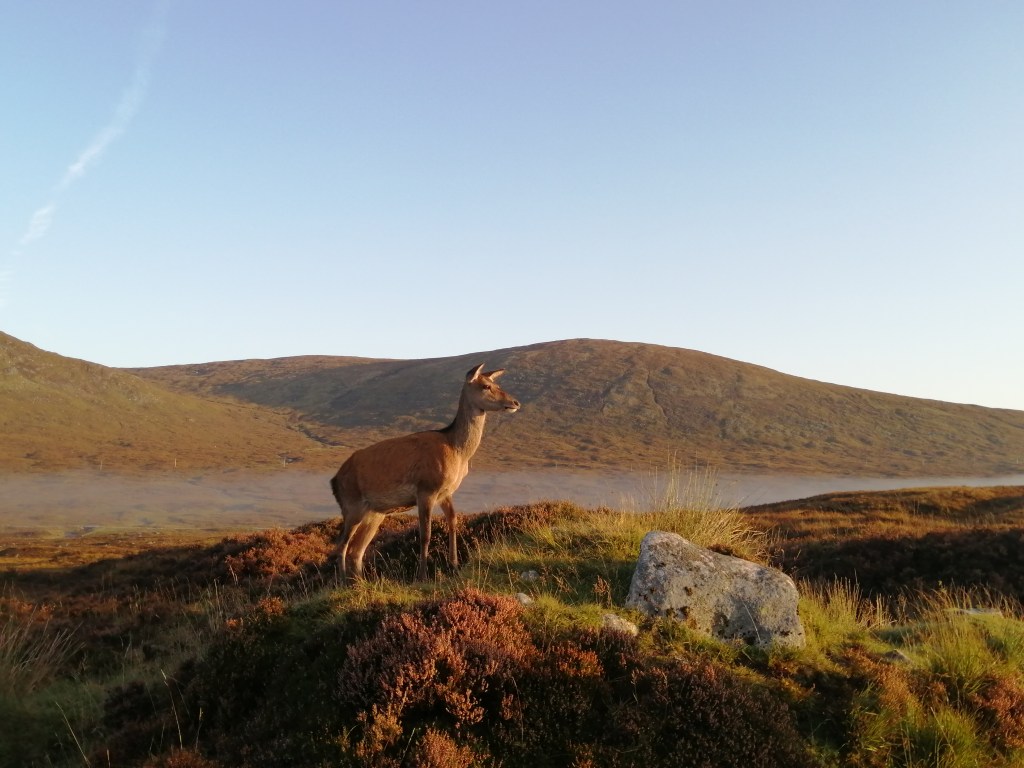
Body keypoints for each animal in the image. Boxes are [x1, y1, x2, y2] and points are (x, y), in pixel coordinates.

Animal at [329, 363, 521, 583]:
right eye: (485, 386)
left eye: (496, 383)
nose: (515, 402)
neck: (457, 451)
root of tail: (334, 480)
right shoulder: (426, 489)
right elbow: (425, 534)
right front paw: (422, 576)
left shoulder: (446, 492)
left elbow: (453, 521)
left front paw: (454, 566)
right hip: (351, 505)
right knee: (341, 544)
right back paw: (342, 581)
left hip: (375, 512)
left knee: (356, 549)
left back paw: (359, 582)